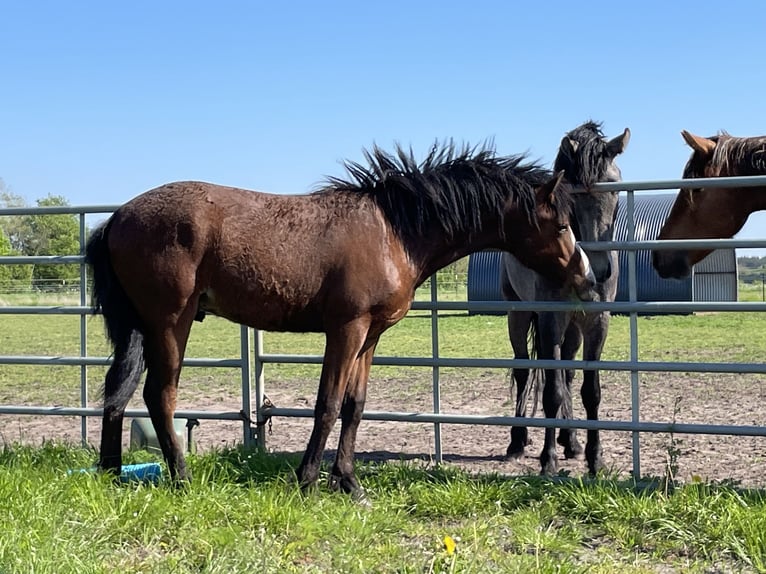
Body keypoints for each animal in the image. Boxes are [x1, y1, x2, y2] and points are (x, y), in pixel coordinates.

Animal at [85, 143, 600, 500]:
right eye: (560, 225)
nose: (587, 278)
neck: (394, 230)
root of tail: (116, 219)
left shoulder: (370, 337)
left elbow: (355, 406)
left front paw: (349, 482)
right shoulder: (346, 330)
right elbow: (328, 404)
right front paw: (308, 480)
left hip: (139, 327)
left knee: (118, 392)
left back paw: (111, 472)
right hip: (170, 324)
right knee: (159, 395)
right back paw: (182, 477)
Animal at [500, 122, 632, 476]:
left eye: (614, 187)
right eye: (573, 194)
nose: (598, 270)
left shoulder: (597, 322)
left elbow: (590, 391)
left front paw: (594, 457)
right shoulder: (550, 319)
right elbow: (551, 391)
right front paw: (548, 460)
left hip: (573, 327)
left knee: (568, 373)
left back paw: (570, 440)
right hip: (519, 314)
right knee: (524, 370)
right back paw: (517, 442)